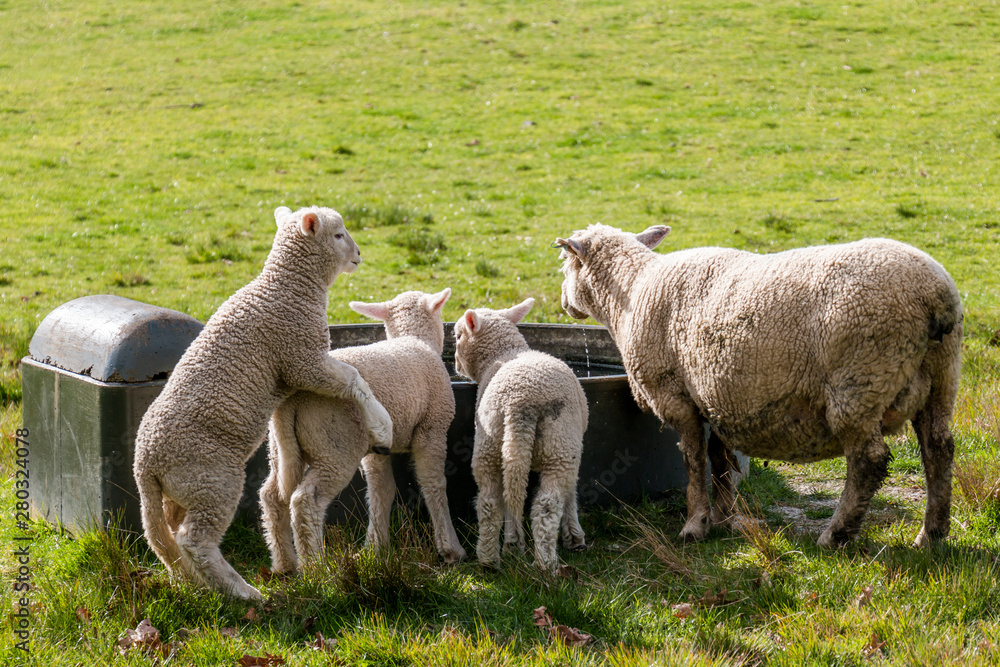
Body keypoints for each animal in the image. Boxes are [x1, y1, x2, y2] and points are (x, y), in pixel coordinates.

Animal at [132, 206, 393, 600]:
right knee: (194, 540)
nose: (359, 256)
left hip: (179, 492)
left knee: (164, 539)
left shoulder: (298, 366)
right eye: (338, 235)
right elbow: (352, 378)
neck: (286, 288)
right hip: (212, 479)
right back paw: (242, 592)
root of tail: (145, 463)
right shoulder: (303, 359)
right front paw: (381, 425)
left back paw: (197, 585)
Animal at [259, 288, 467, 572]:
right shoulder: (432, 430)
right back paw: (316, 568)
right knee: (305, 500)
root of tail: (292, 399)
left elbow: (381, 491)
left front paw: (375, 548)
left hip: (282, 450)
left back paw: (284, 564)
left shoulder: (377, 449)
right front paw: (450, 549)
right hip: (336, 445)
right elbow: (433, 484)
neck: (415, 338)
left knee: (272, 497)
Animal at [454, 298, 588, 571]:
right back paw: (546, 564)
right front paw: (574, 537)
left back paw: (490, 559)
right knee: (546, 506)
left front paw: (512, 542)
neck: (503, 353)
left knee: (490, 501)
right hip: (560, 446)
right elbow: (571, 493)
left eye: (458, 336)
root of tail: (519, 403)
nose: (453, 362)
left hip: (491, 443)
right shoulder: (574, 446)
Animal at [555, 223, 962, 548]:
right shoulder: (715, 396)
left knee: (869, 462)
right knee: (939, 449)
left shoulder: (676, 397)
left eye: (566, 263)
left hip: (860, 382)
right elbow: (719, 460)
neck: (632, 291)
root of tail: (934, 296)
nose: (563, 302)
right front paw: (723, 516)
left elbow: (693, 461)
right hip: (942, 379)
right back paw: (931, 535)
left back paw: (836, 535)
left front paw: (695, 524)